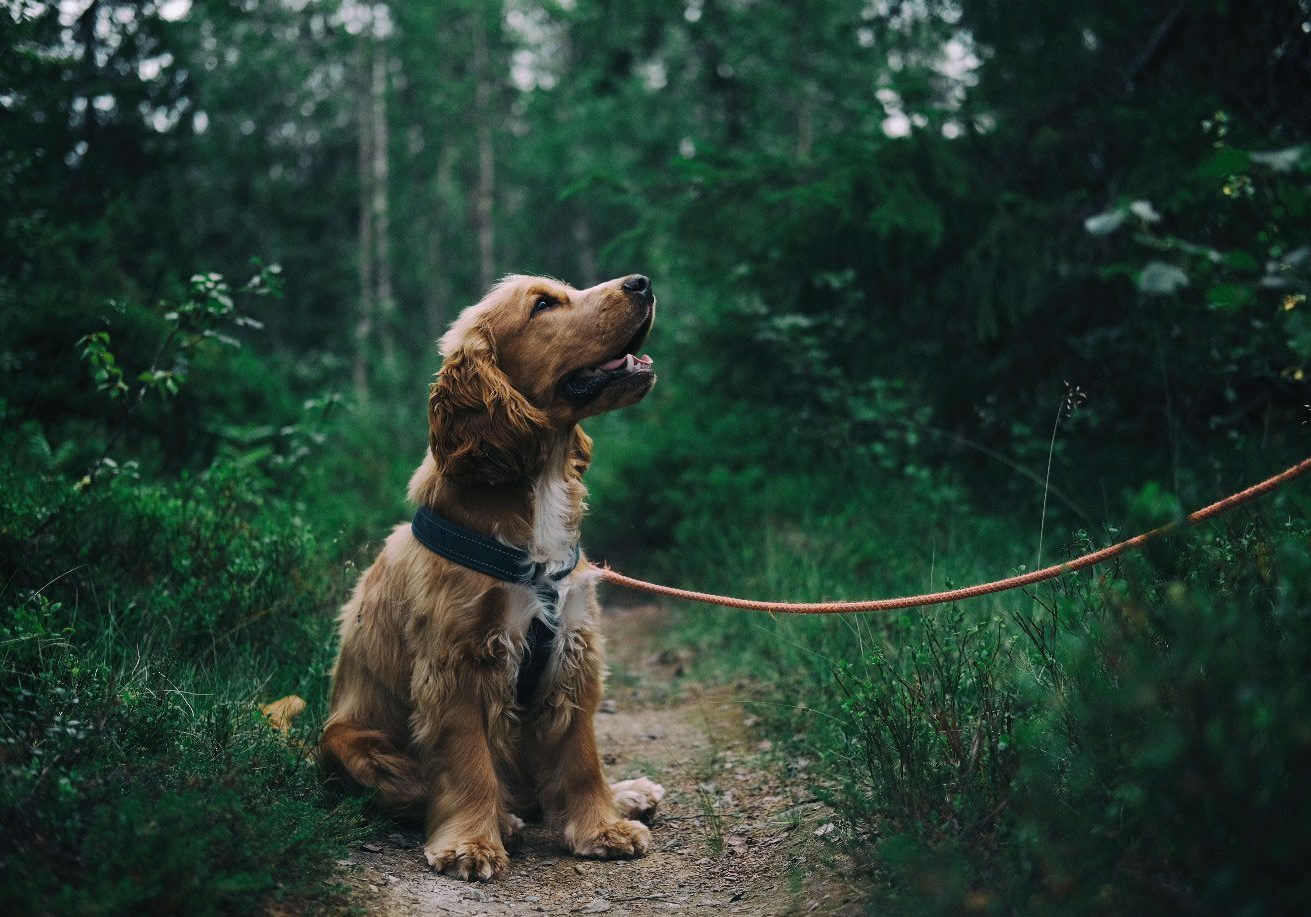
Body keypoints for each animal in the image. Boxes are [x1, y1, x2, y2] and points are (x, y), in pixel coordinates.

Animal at [318, 272, 665, 881]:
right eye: (544, 304)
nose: (642, 282)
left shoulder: (573, 649)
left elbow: (581, 756)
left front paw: (602, 827)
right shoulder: (459, 661)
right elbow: (467, 762)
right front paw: (472, 844)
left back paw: (626, 794)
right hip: (349, 742)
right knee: (424, 789)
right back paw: (504, 818)